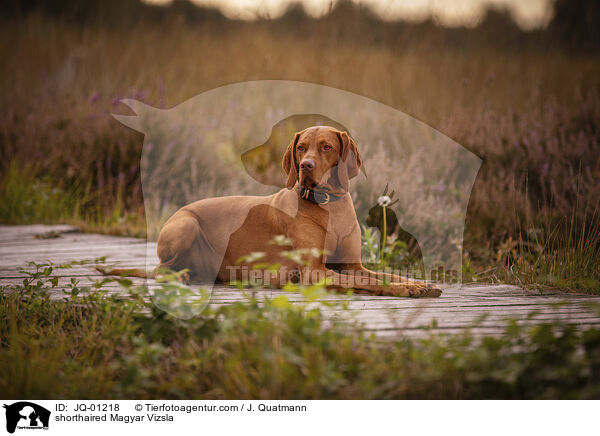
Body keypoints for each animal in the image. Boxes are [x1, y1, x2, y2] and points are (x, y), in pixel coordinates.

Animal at [156, 126, 440, 296]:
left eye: (327, 146)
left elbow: (384, 275)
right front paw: (407, 289)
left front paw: (418, 284)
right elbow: (371, 281)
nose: (305, 165)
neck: (329, 205)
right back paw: (180, 277)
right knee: (161, 269)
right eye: (301, 147)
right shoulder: (316, 271)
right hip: (187, 224)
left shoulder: (353, 265)